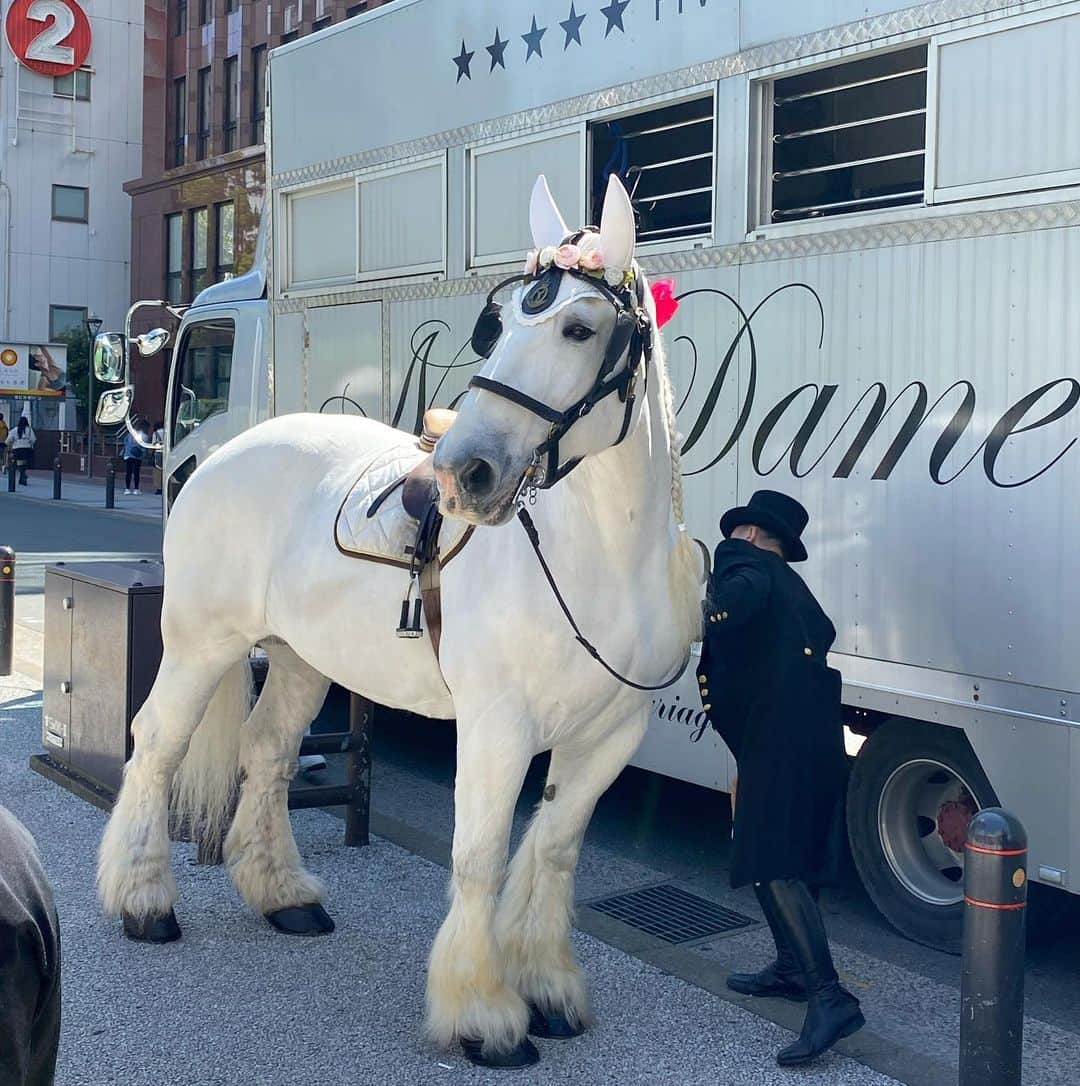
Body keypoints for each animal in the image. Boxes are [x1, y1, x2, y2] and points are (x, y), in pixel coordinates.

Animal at [96, 173, 704, 1064]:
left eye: (580, 327)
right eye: (501, 322)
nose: (462, 473)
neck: (602, 563)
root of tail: (228, 452)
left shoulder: (608, 735)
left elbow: (553, 850)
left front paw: (548, 989)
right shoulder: (498, 727)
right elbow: (481, 858)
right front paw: (483, 1013)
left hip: (301, 659)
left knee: (267, 753)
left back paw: (283, 895)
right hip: (204, 643)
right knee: (157, 745)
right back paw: (142, 900)